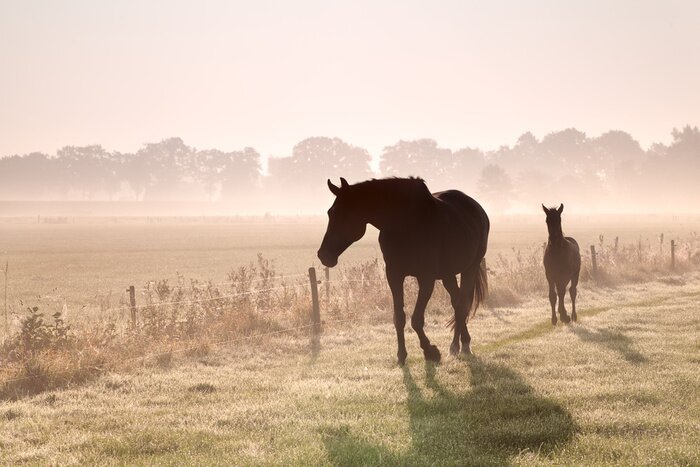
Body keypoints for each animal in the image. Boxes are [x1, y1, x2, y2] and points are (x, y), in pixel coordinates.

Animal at [317, 177, 489, 365]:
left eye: (345, 214)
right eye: (330, 213)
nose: (324, 255)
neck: (404, 223)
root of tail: (477, 208)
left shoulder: (426, 278)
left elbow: (416, 320)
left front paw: (431, 352)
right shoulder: (394, 275)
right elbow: (399, 318)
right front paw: (401, 355)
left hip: (470, 268)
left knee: (461, 305)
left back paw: (463, 345)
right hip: (448, 274)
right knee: (457, 302)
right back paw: (457, 345)